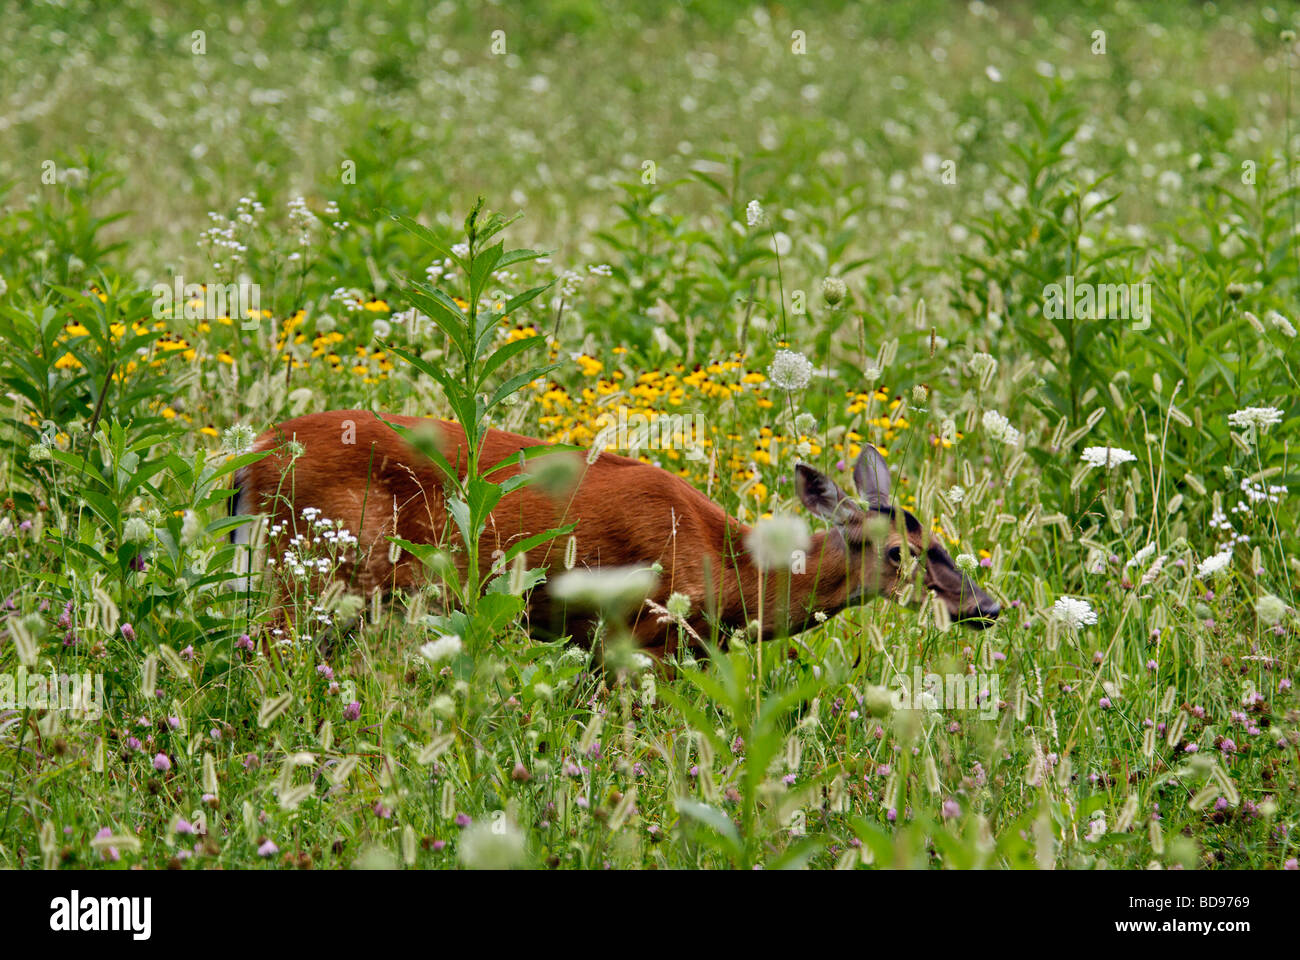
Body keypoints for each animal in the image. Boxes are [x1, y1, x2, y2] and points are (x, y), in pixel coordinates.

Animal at [231, 409, 1000, 657]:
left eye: (940, 539)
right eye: (898, 551)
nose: (985, 604)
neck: (731, 570)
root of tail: (253, 453)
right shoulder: (636, 633)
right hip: (319, 566)